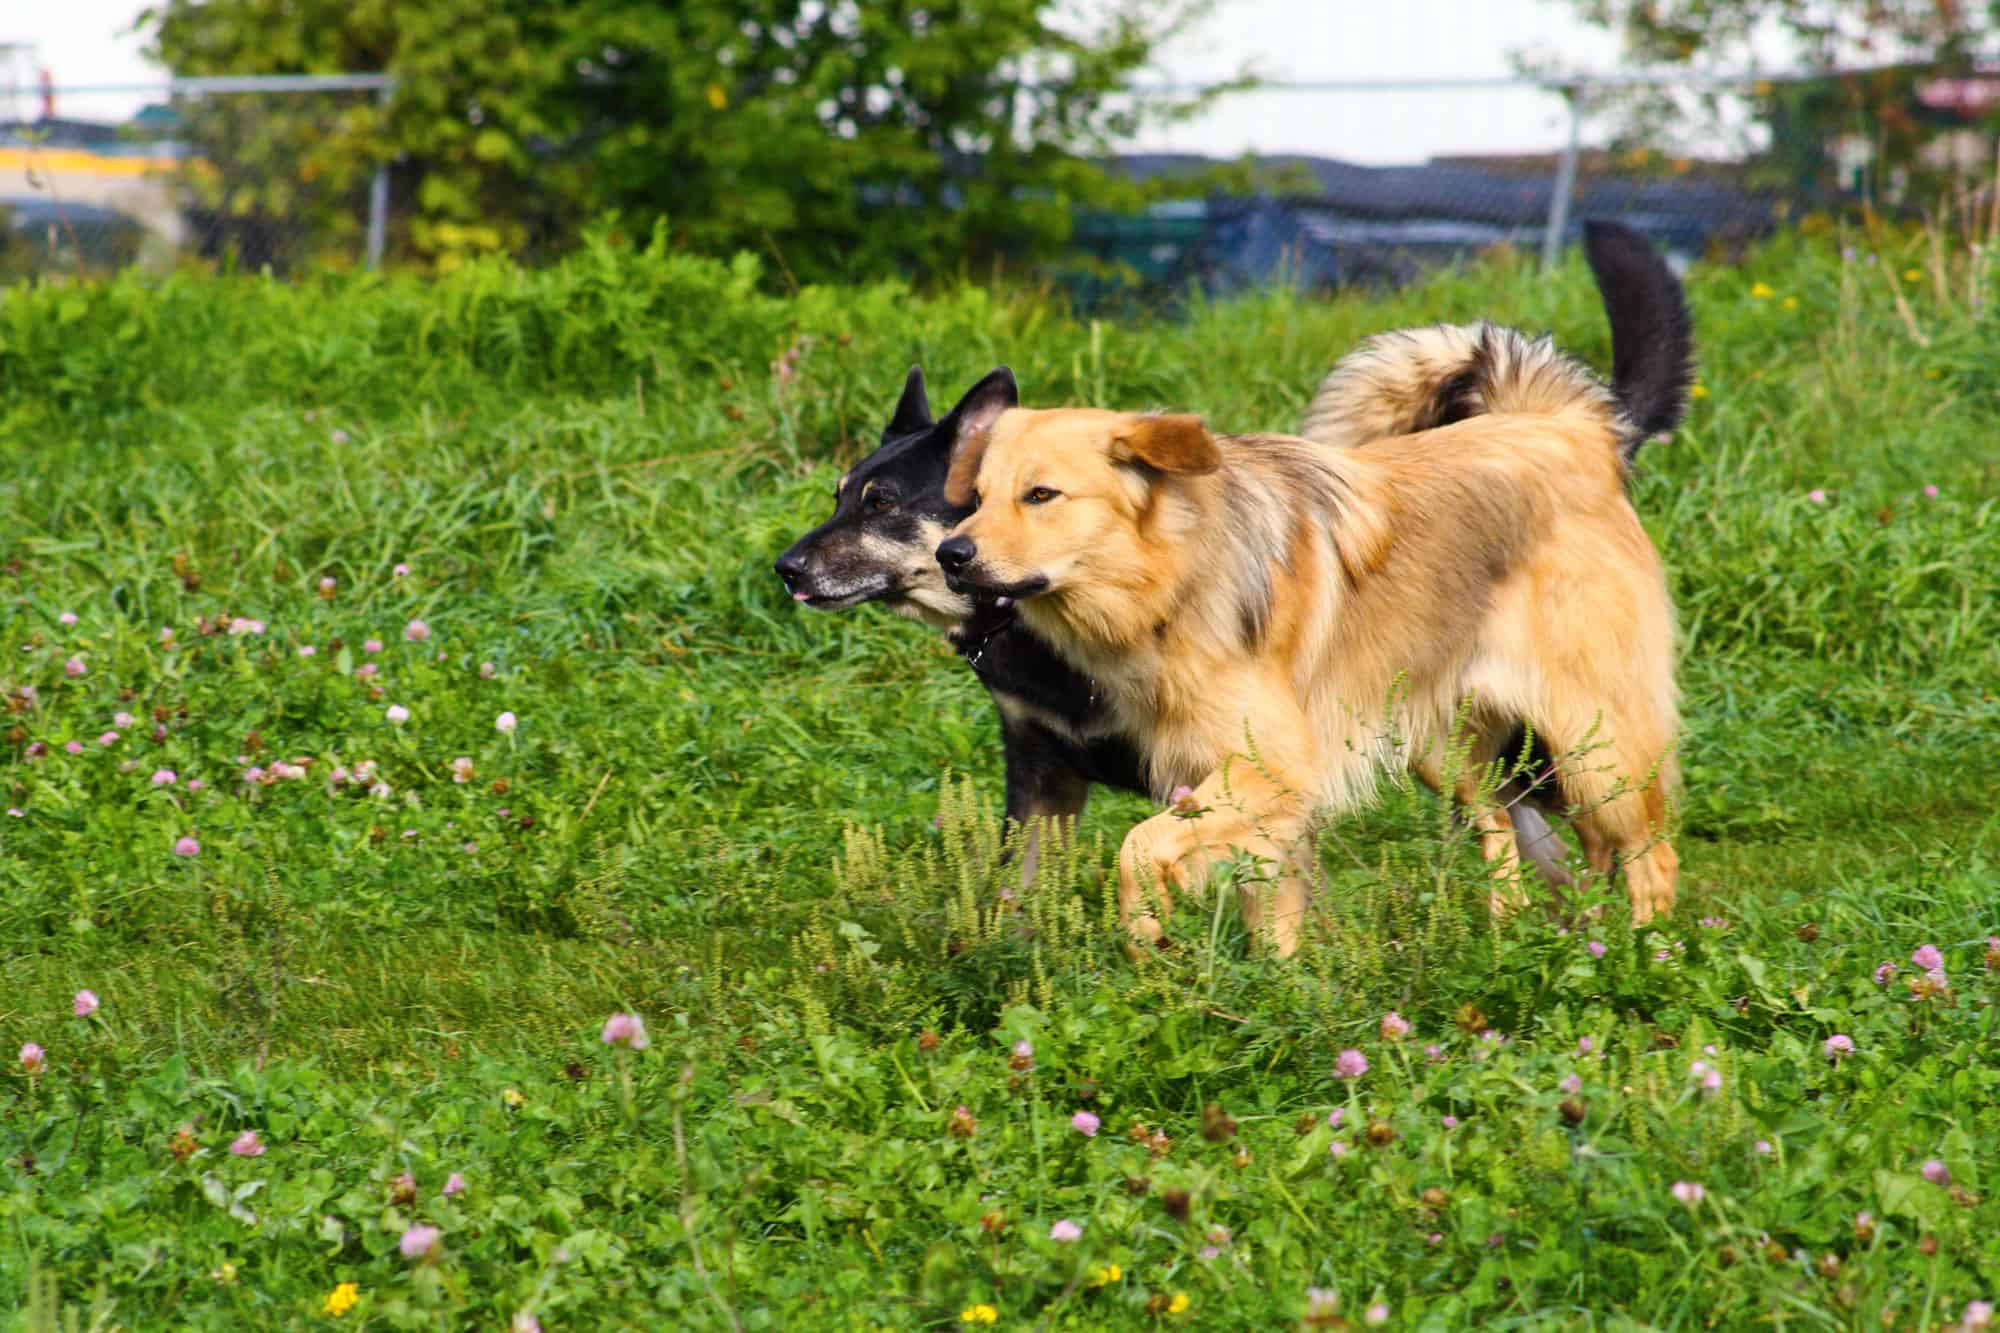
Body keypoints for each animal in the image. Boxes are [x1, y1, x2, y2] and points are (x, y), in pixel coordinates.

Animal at [936, 223, 1688, 948]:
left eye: (1040, 495)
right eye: (974, 498)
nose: (951, 554)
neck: (1172, 578)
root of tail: (1570, 430)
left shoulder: (1276, 763)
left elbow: (1139, 846)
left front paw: (1146, 930)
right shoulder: (1226, 777)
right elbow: (1267, 908)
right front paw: (1271, 978)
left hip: (1596, 741)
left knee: (1648, 850)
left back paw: (1644, 957)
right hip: (1444, 750)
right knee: (1511, 826)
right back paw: (1524, 937)